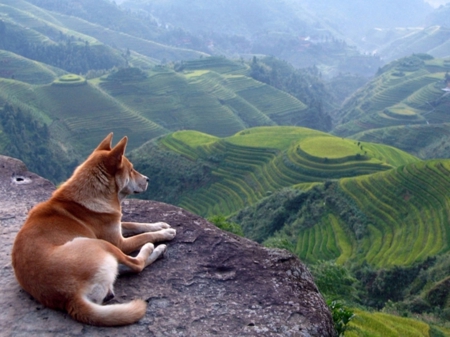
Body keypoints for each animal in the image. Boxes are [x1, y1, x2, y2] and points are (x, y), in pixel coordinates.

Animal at [10, 134, 176, 326]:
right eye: (131, 170)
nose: (148, 179)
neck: (92, 193)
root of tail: (70, 298)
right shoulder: (119, 242)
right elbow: (144, 235)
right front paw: (164, 233)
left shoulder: (116, 224)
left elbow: (136, 224)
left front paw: (160, 225)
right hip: (100, 244)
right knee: (136, 264)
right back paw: (154, 249)